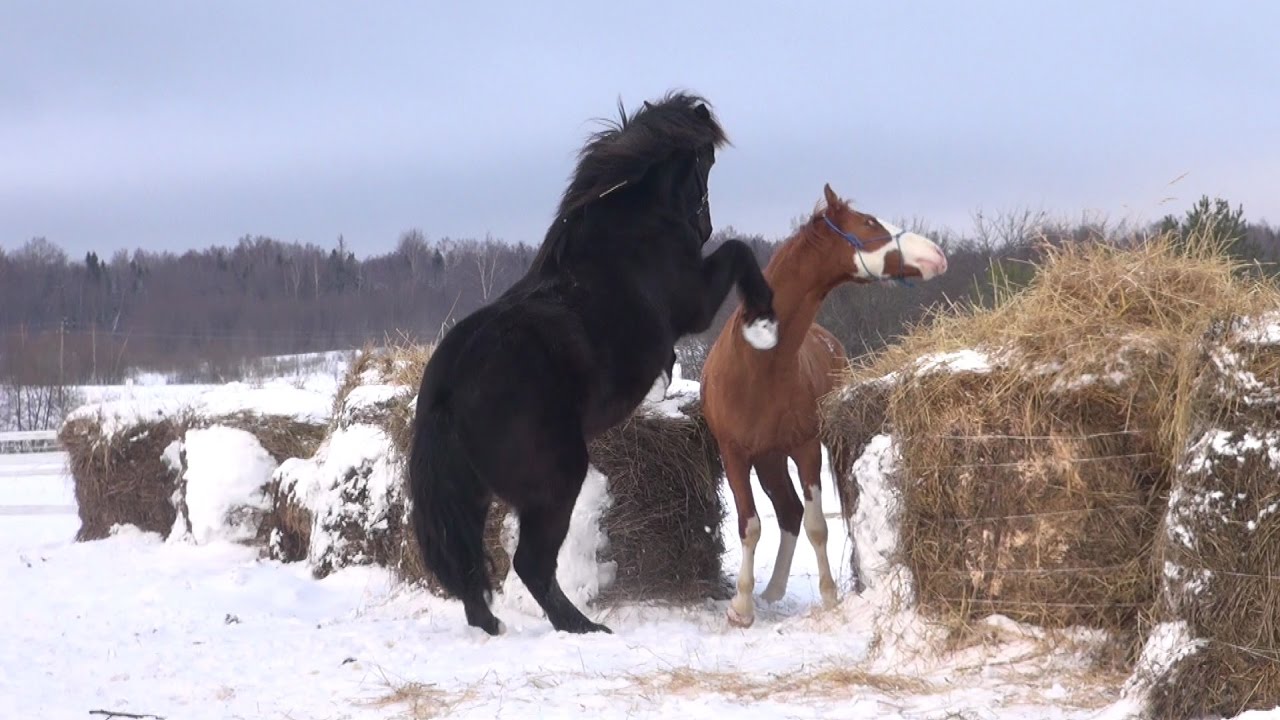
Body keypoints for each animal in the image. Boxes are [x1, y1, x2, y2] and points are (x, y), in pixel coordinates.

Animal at [404, 90, 773, 632]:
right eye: (705, 161)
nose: (701, 226)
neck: (630, 231)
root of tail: (446, 387)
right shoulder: (697, 303)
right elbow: (739, 251)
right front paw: (764, 317)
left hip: (473, 495)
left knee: (472, 568)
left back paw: (494, 626)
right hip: (556, 481)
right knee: (531, 564)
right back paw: (580, 625)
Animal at [696, 181, 947, 625]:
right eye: (869, 222)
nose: (937, 254)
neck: (759, 363)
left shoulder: (807, 449)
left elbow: (817, 525)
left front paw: (830, 598)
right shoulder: (735, 454)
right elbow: (749, 525)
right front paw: (741, 607)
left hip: (791, 453)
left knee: (795, 512)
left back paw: (776, 589)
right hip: (768, 459)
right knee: (786, 511)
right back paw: (771, 590)